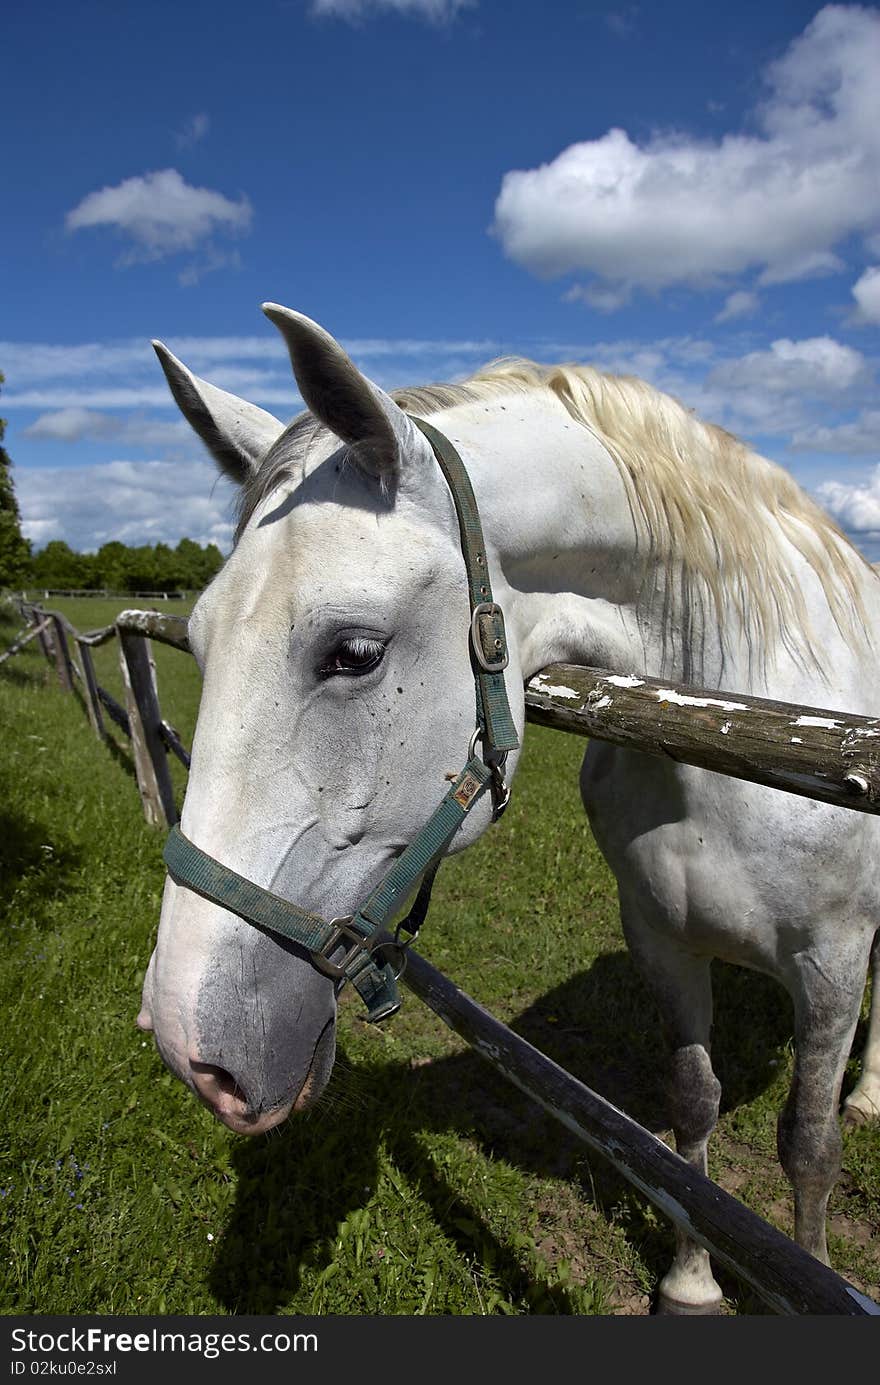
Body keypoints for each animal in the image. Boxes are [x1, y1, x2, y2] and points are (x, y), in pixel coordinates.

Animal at [139, 308, 880, 1312]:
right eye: (200, 638)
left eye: (355, 651)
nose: (189, 1048)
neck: (731, 726)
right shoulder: (663, 939)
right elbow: (693, 1108)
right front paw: (691, 1281)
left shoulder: (831, 964)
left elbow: (808, 1147)